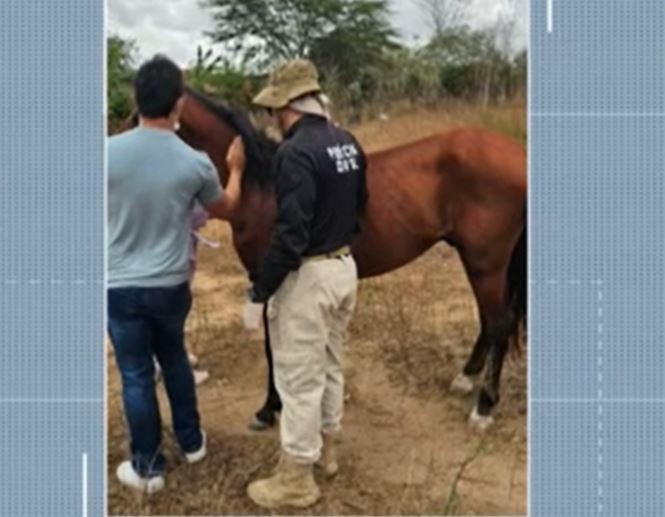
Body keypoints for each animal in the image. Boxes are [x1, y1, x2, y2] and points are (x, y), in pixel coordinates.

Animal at [124, 87, 527, 431]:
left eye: (135, 122)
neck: (261, 186)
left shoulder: (267, 277)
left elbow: (273, 347)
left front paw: (269, 408)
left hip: (485, 264)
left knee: (498, 322)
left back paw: (484, 407)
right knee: (489, 322)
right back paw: (465, 379)